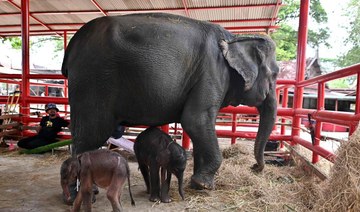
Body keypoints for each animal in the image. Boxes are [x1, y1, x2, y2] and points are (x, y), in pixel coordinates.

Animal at [62, 12, 280, 190]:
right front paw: (203, 185)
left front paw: (197, 183)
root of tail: (72, 46)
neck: (235, 37)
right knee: (90, 136)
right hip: (93, 80)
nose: (255, 167)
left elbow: (199, 126)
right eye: (276, 73)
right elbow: (195, 120)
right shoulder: (212, 73)